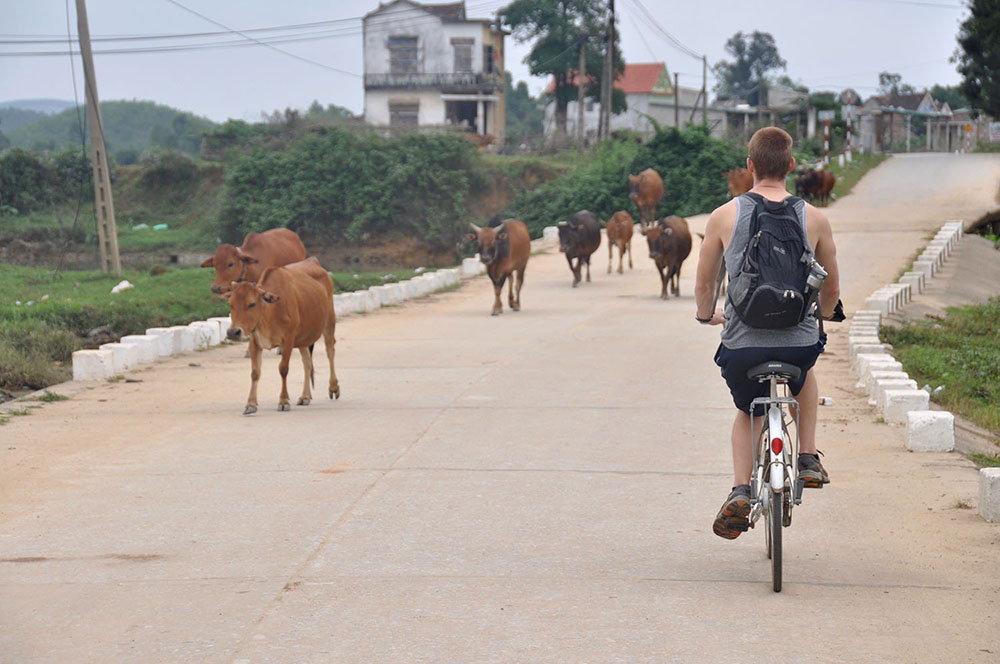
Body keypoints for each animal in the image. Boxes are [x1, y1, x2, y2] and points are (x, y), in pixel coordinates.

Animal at [224, 256, 340, 412]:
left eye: (252, 304)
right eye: (230, 304)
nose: (233, 332)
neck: (270, 312)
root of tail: (313, 261)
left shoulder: (288, 340)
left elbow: (283, 369)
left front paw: (284, 401)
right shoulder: (255, 342)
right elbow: (255, 373)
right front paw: (251, 404)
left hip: (329, 322)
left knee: (330, 351)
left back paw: (333, 387)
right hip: (303, 338)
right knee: (307, 362)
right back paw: (305, 396)